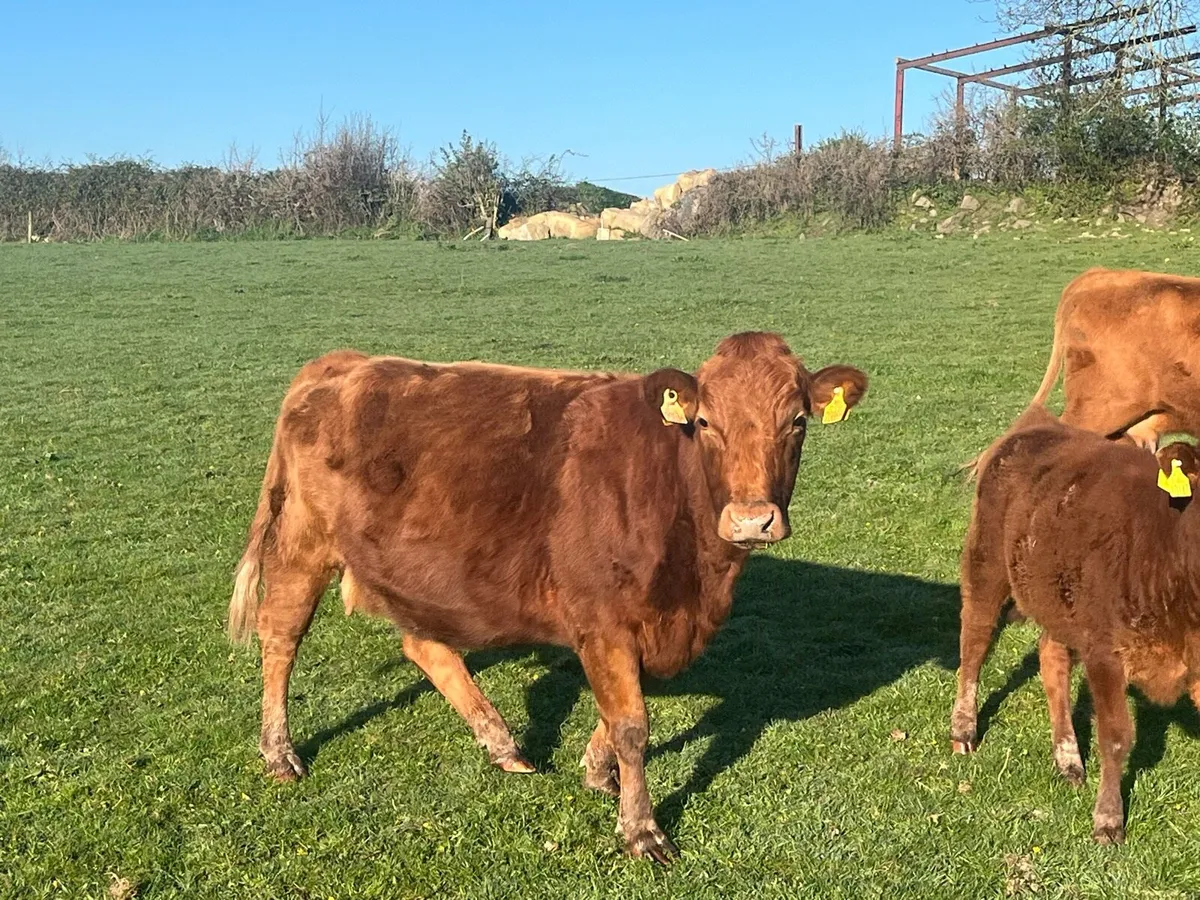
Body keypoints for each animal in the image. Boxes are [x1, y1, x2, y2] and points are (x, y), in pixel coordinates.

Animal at [227, 333, 868, 862]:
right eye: (706, 421)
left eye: (798, 422)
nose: (752, 519)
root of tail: (343, 363)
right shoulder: (603, 619)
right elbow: (631, 722)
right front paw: (641, 830)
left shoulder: (642, 622)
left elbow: (619, 709)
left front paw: (597, 769)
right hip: (304, 544)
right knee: (280, 635)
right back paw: (279, 752)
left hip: (412, 572)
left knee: (424, 646)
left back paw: (501, 741)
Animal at [950, 404, 1200, 844]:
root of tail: (1039, 425)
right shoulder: (1105, 653)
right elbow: (1115, 737)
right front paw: (1108, 819)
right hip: (986, 567)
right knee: (974, 641)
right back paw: (964, 729)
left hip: (1060, 601)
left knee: (1051, 659)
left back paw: (1068, 757)